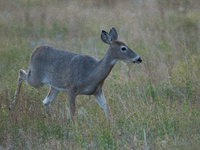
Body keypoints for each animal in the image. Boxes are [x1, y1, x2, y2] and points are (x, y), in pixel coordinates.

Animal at [11, 27, 142, 122]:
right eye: (123, 48)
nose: (139, 59)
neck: (91, 73)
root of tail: (35, 50)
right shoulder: (71, 88)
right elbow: (73, 113)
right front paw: (75, 129)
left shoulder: (97, 91)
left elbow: (107, 109)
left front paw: (114, 126)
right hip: (37, 79)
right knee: (21, 73)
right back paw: (12, 105)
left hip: (54, 86)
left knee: (46, 101)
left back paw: (50, 121)